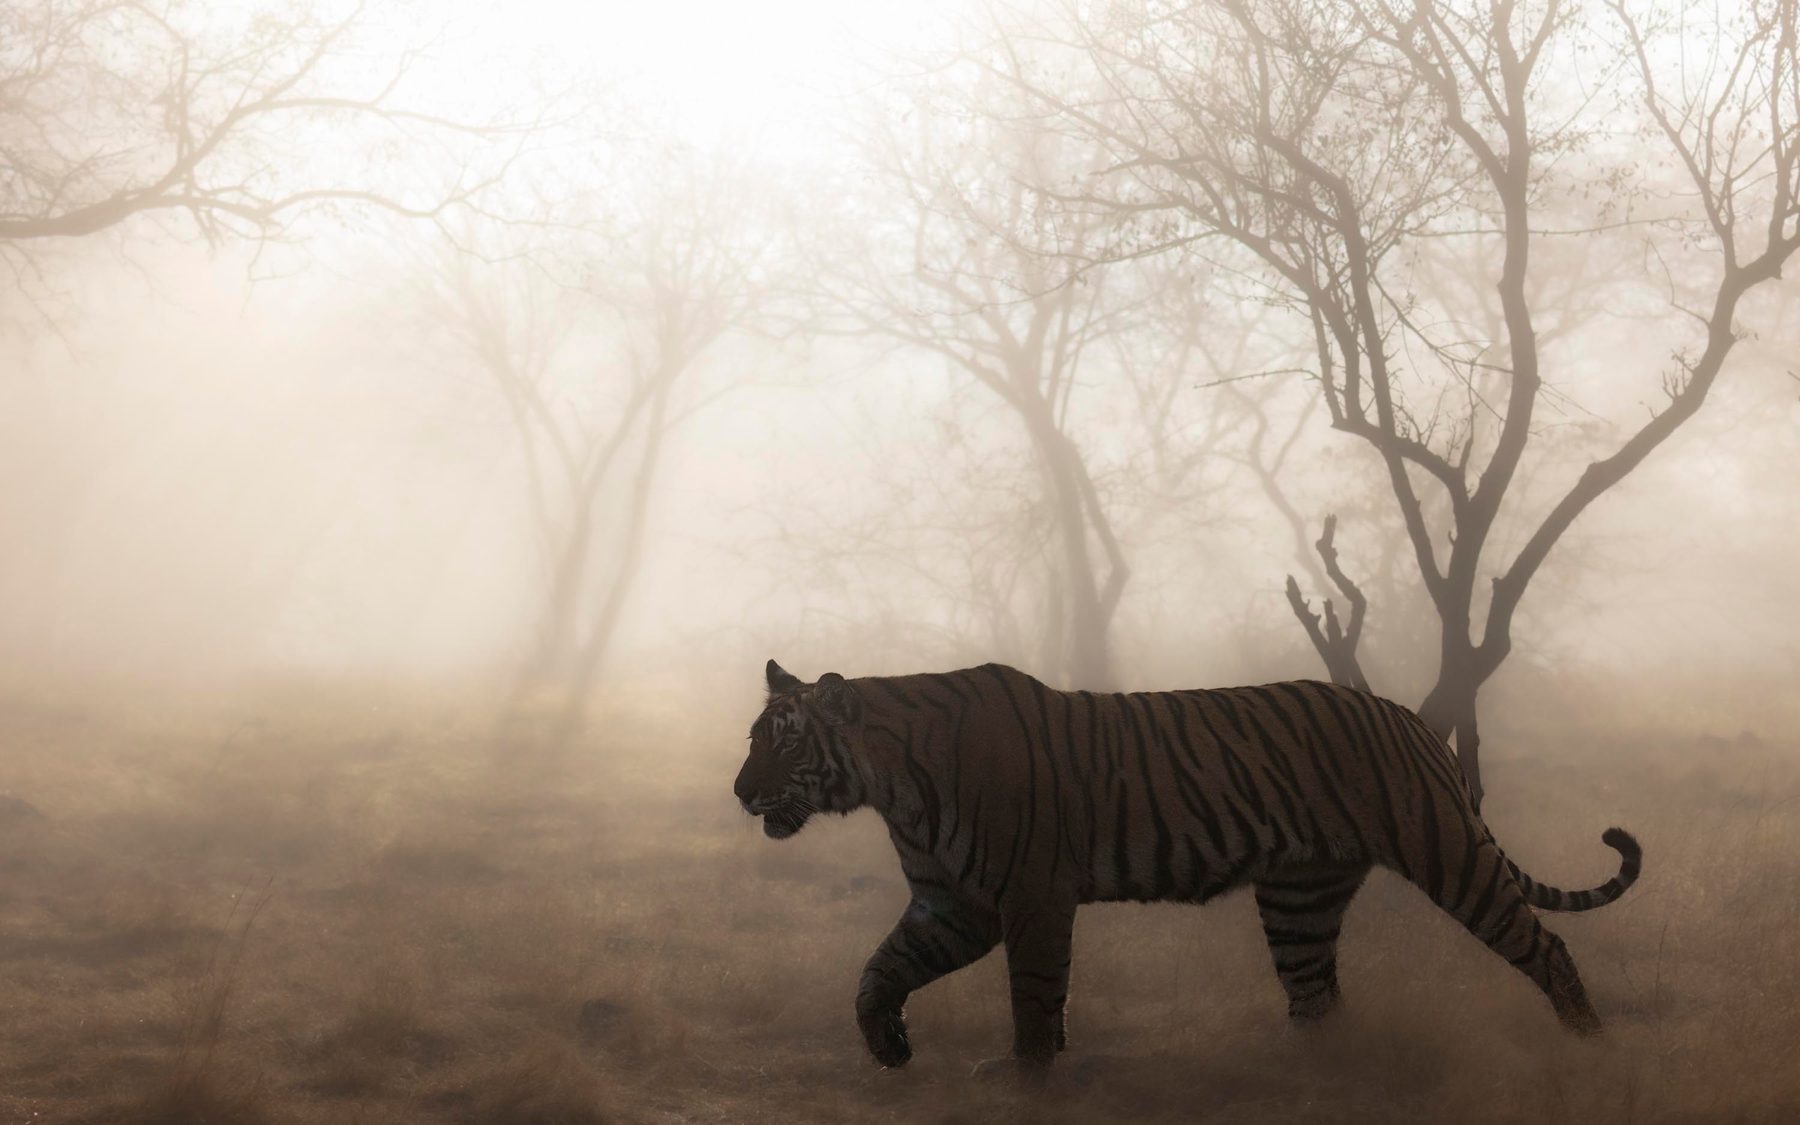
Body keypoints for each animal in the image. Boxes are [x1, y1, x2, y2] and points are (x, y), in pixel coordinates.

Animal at [732, 660, 1642, 1073]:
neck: (888, 786)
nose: (739, 790)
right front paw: (887, 1042)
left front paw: (1029, 1077)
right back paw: (1295, 1075)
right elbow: (876, 970)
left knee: (1545, 945)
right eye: (751, 737)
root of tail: (1405, 715)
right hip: (1299, 898)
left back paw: (1590, 1044)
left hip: (1446, 852)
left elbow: (1035, 997)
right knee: (1317, 996)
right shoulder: (950, 903)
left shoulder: (1029, 898)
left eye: (784, 742)